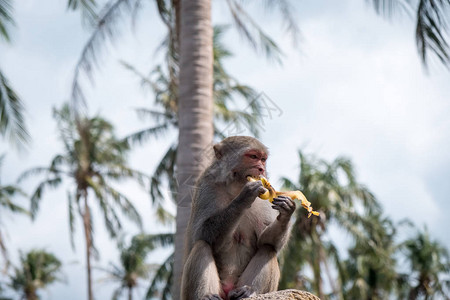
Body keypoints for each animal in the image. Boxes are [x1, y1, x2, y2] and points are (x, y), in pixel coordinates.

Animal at [180, 137, 296, 300]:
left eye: (263, 159)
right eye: (253, 156)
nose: (261, 169)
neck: (236, 186)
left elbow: (266, 240)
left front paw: (286, 212)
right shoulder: (206, 185)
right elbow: (201, 232)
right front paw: (244, 197)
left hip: (240, 285)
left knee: (268, 249)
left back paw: (249, 291)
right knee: (201, 245)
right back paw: (207, 296)